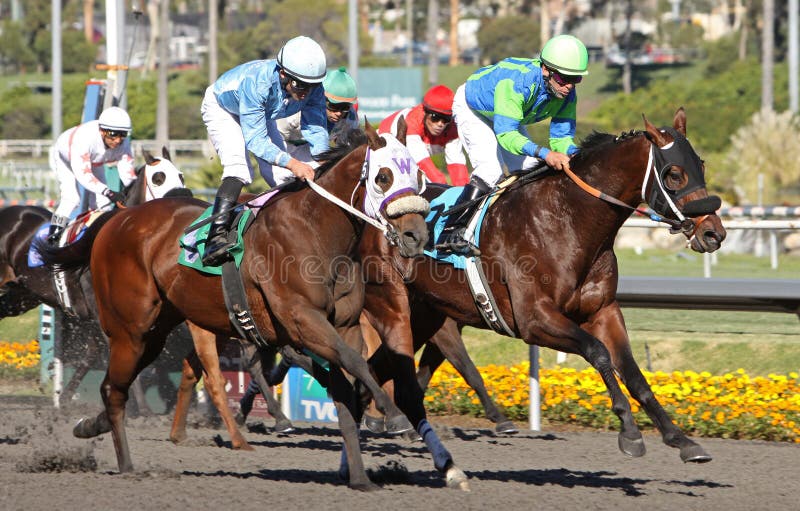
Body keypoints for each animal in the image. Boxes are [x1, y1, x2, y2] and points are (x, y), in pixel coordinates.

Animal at [37, 121, 462, 492]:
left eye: (418, 177)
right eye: (383, 177)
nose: (415, 235)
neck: (315, 230)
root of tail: (117, 221)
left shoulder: (345, 326)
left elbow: (348, 387)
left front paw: (360, 477)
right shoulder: (303, 321)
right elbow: (356, 366)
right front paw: (394, 416)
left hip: (156, 332)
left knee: (115, 386)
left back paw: (89, 426)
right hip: (130, 330)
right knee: (116, 388)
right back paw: (127, 465)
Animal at [360, 109, 728, 484]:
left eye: (701, 164)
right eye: (674, 173)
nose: (713, 233)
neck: (568, 221)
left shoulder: (604, 311)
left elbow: (634, 373)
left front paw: (681, 440)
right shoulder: (533, 320)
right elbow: (598, 353)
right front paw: (629, 432)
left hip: (425, 314)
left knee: (376, 365)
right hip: (394, 306)